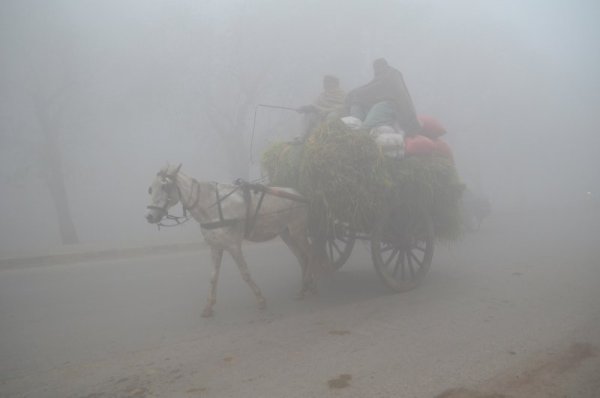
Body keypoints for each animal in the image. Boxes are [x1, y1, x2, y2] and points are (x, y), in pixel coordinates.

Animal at [146, 163, 324, 316]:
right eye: (150, 189)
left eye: (165, 186)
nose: (149, 216)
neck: (213, 206)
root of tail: (300, 195)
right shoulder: (215, 246)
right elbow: (213, 276)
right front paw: (208, 306)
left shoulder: (233, 245)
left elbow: (245, 273)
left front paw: (260, 299)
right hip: (286, 233)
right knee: (302, 258)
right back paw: (305, 287)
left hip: (297, 230)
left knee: (311, 253)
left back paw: (311, 285)